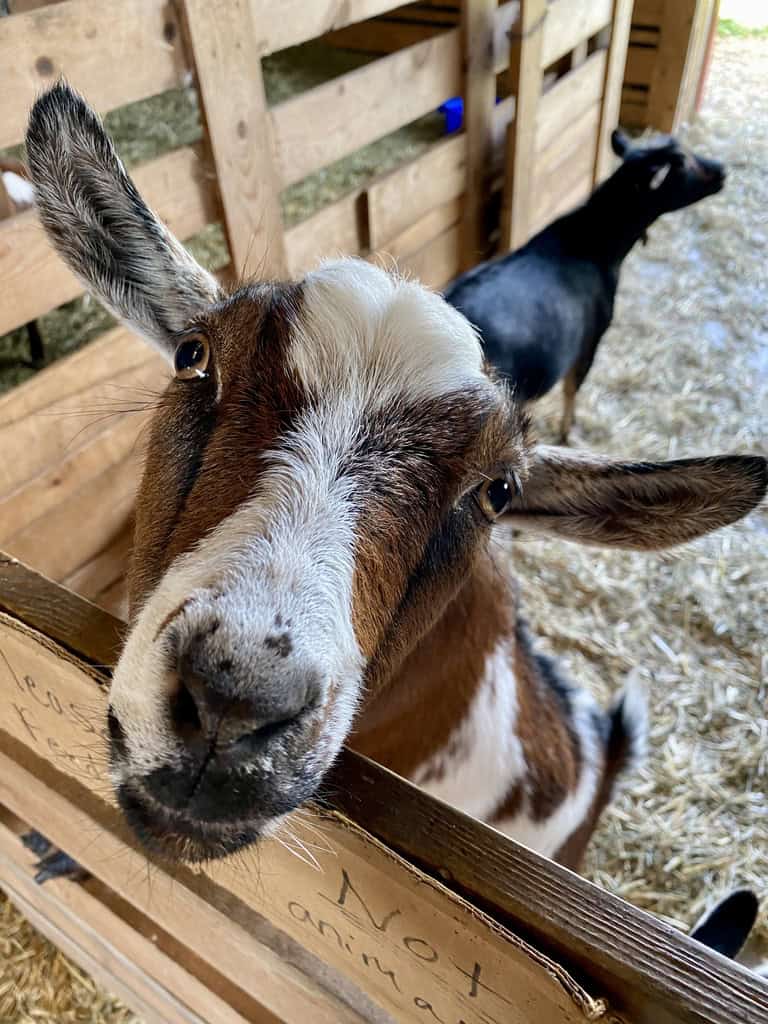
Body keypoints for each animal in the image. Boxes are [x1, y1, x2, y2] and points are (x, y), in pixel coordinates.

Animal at [444, 130, 726, 442]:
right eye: (683, 163)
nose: (721, 170)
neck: (592, 246)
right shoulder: (590, 340)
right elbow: (572, 388)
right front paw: (568, 431)